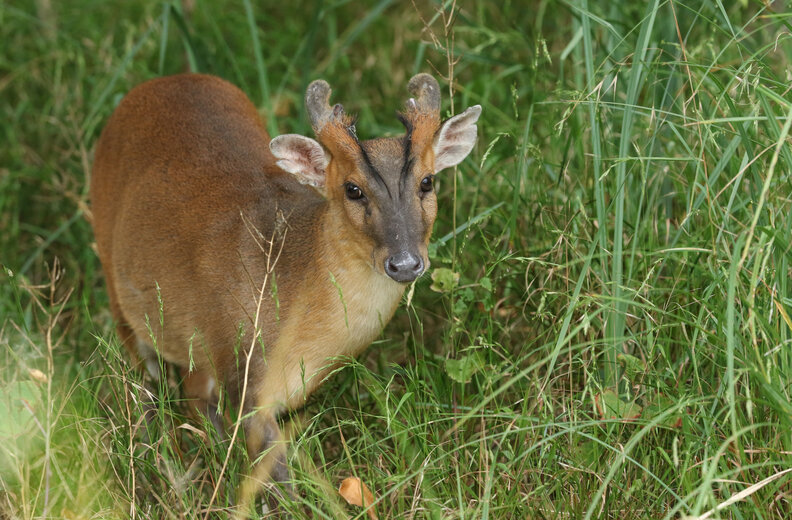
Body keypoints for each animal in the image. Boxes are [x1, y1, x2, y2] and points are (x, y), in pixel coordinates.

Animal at [90, 72, 480, 515]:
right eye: (352, 189)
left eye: (427, 182)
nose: (405, 263)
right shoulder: (245, 373)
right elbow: (279, 479)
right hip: (114, 276)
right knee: (143, 383)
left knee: (193, 396)